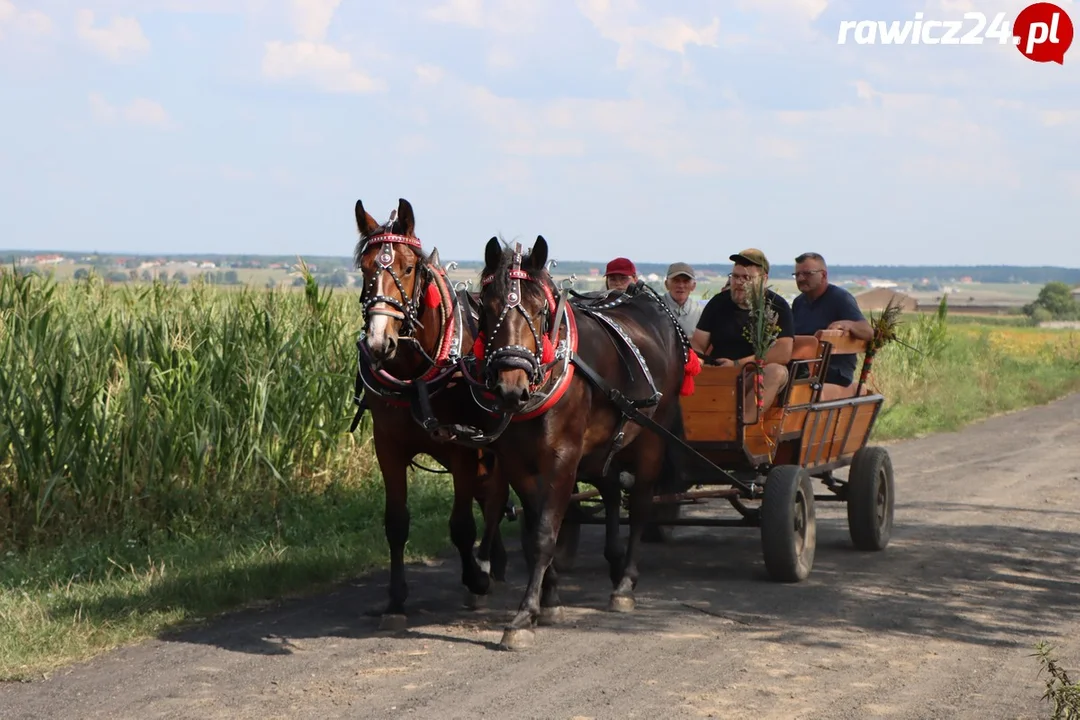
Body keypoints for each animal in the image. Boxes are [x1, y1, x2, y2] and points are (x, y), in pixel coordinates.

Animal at [349, 197, 509, 630]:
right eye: (365, 269)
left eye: (407, 268)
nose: (379, 342)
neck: (415, 374)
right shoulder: (387, 447)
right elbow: (396, 523)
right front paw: (396, 598)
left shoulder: (463, 447)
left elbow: (461, 525)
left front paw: (475, 578)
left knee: (494, 498)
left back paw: (487, 569)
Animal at [470, 237, 691, 651]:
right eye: (487, 307)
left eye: (540, 310)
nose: (510, 388)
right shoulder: (517, 462)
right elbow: (535, 533)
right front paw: (550, 599)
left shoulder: (563, 458)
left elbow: (545, 534)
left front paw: (524, 616)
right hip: (604, 445)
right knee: (610, 489)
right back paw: (614, 560)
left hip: (652, 435)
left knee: (640, 505)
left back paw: (625, 583)